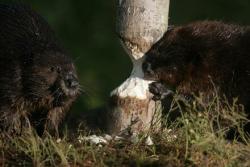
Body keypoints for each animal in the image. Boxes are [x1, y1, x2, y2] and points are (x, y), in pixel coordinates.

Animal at [0, 4, 80, 137]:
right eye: (54, 69)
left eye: (73, 67)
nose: (72, 82)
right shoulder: (10, 78)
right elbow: (8, 108)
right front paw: (13, 132)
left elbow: (57, 113)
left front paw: (50, 135)